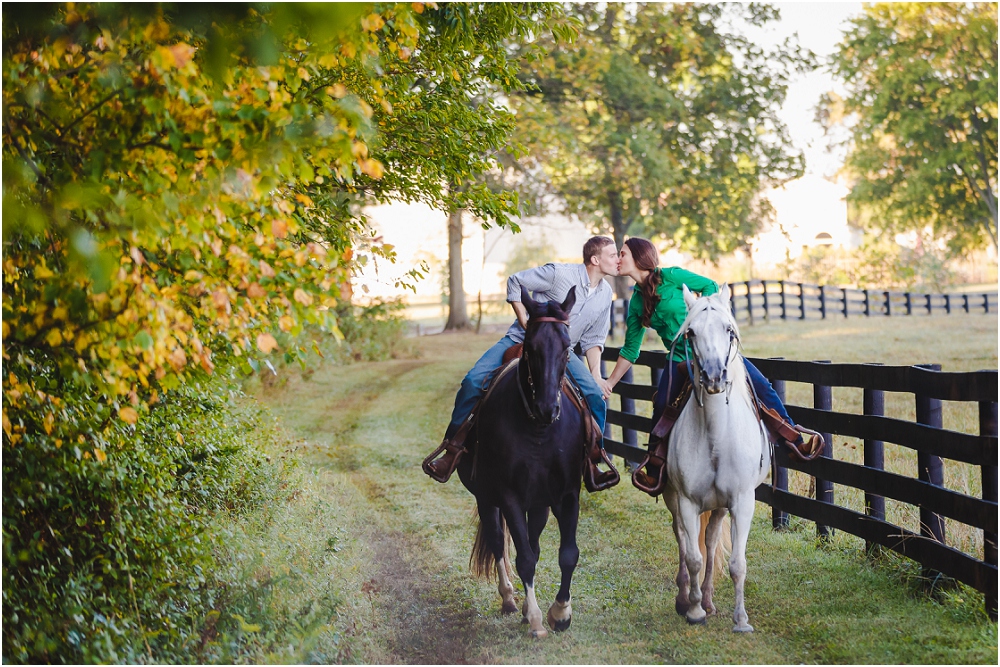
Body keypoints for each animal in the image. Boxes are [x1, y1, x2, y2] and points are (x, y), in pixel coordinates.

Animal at [458, 286, 588, 636]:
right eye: (531, 347)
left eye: (566, 348)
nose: (546, 407)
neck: (538, 432)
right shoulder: (508, 496)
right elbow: (524, 559)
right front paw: (536, 619)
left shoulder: (567, 494)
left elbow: (567, 554)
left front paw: (561, 612)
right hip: (487, 498)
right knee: (498, 542)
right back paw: (509, 599)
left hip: (539, 503)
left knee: (532, 543)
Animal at [664, 284, 772, 636]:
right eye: (691, 333)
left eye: (728, 330)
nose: (714, 377)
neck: (714, 437)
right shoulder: (686, 502)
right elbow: (693, 557)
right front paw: (694, 610)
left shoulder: (741, 501)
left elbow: (736, 563)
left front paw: (741, 619)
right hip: (673, 499)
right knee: (683, 539)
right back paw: (686, 598)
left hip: (720, 507)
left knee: (710, 542)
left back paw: (709, 600)